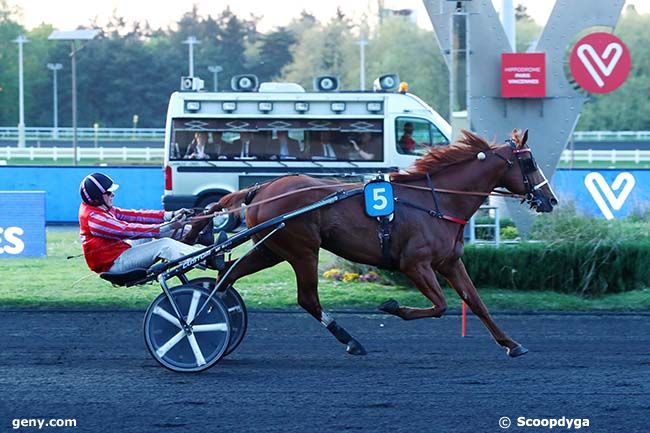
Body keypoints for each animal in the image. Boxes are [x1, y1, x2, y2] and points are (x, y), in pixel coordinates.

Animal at [184, 129, 556, 358]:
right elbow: (440, 306)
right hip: (302, 250)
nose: (550, 200)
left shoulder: (449, 262)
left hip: (271, 248)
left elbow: (476, 303)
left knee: (227, 277)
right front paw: (392, 306)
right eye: (529, 161)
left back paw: (208, 316)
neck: (437, 201)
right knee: (307, 299)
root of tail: (261, 188)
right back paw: (351, 341)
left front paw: (511, 344)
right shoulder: (414, 264)